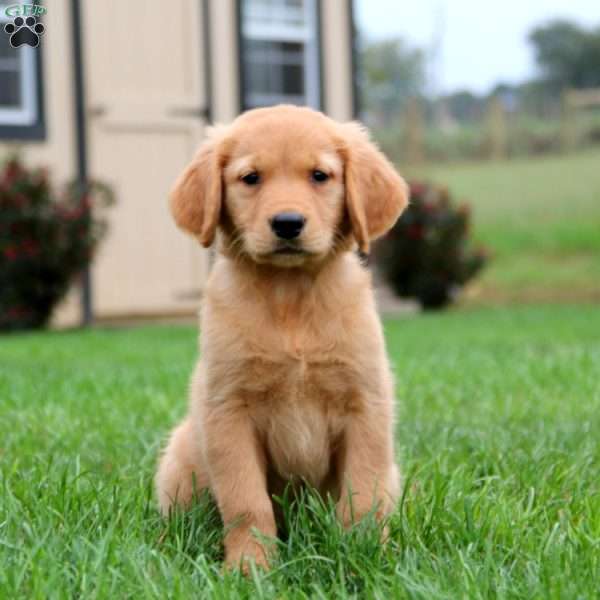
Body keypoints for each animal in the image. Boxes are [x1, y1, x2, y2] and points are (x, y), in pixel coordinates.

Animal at [156, 104, 408, 572]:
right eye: (250, 177)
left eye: (320, 175)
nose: (288, 224)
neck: (289, 298)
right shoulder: (228, 410)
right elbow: (247, 503)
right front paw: (249, 567)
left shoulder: (366, 405)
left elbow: (363, 496)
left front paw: (364, 556)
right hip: (181, 457)